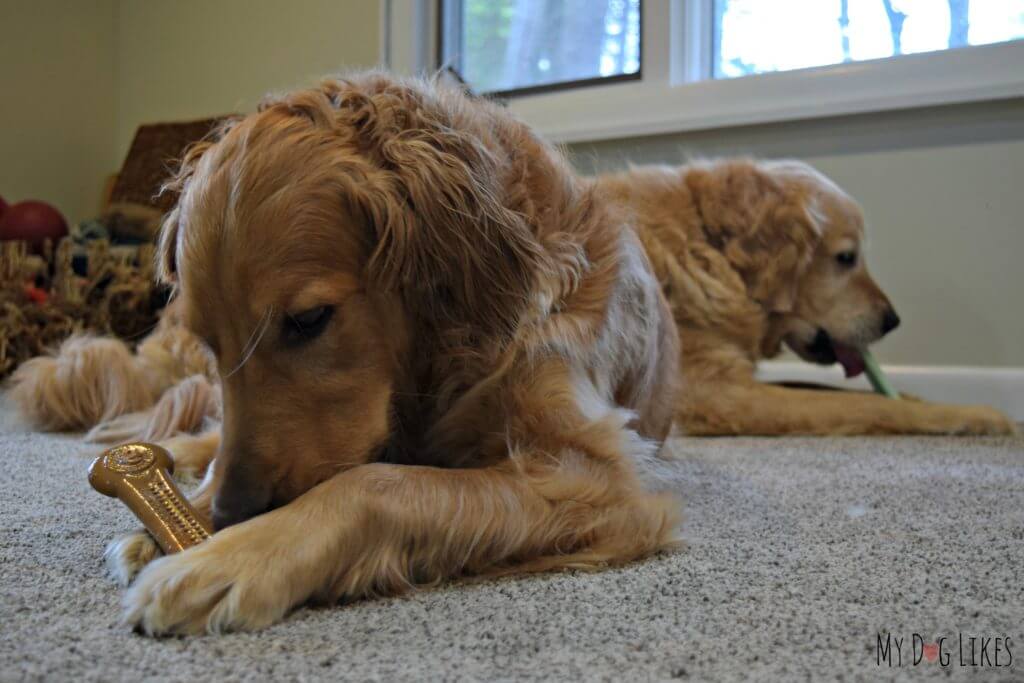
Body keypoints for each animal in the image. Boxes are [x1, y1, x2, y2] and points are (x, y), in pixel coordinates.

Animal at [598, 162, 1015, 436]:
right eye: (846, 258)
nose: (892, 321)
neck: (708, 248)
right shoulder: (713, 393)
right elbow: (860, 403)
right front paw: (973, 415)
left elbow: (825, 388)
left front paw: (917, 399)